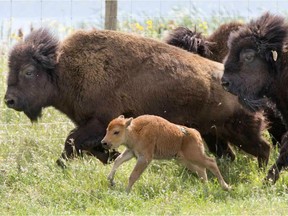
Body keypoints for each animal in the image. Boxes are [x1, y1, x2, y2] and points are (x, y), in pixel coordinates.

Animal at [3, 28, 270, 167]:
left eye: (28, 71)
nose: (9, 100)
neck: (62, 69)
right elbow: (90, 147)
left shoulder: (99, 122)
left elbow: (72, 142)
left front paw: (62, 165)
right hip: (213, 134)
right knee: (229, 154)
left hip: (240, 131)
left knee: (263, 148)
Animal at [101, 115, 232, 192]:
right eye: (107, 129)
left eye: (116, 132)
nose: (104, 142)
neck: (135, 130)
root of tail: (196, 134)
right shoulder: (131, 152)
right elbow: (118, 161)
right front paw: (110, 179)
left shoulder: (144, 158)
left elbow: (133, 175)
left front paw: (126, 191)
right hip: (184, 160)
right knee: (201, 169)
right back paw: (205, 188)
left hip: (194, 155)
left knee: (211, 163)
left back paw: (226, 187)